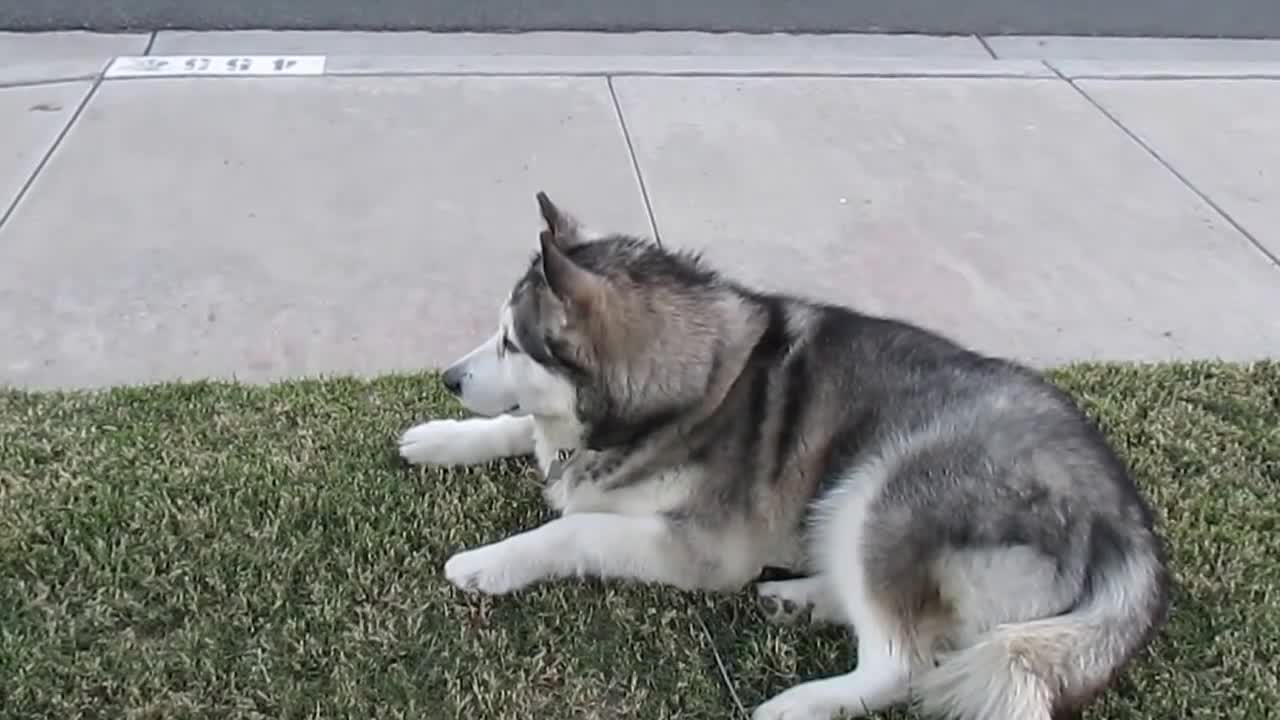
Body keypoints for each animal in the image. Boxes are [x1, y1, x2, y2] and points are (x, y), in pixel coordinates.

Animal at [399, 193, 1172, 717]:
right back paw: (800, 600)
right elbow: (521, 430)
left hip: (886, 486)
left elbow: (575, 527)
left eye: (511, 342)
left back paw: (801, 701)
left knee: (904, 661)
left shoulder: (708, 551)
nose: (449, 377)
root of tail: (1125, 518)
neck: (687, 385)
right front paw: (440, 436)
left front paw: (489, 562)